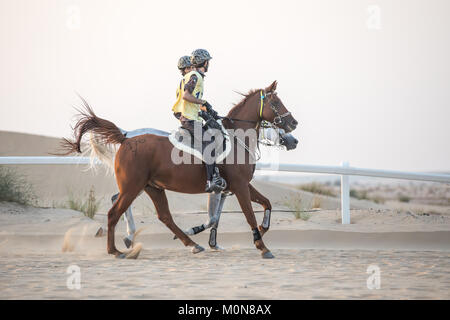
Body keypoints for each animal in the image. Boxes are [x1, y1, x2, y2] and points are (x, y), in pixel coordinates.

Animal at [60, 81, 298, 258]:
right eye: (276, 102)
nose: (293, 125)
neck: (237, 138)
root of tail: (126, 138)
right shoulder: (238, 186)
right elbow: (247, 215)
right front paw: (262, 246)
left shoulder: (239, 185)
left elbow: (265, 203)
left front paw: (261, 231)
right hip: (132, 187)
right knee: (113, 213)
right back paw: (116, 250)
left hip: (152, 187)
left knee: (164, 216)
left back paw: (190, 243)